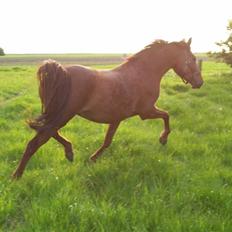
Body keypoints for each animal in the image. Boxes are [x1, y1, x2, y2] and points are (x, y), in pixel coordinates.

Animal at [12, 39, 203, 179]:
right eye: (193, 58)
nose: (199, 83)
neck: (142, 73)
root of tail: (62, 71)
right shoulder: (146, 111)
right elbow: (167, 115)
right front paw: (163, 139)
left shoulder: (117, 118)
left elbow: (107, 141)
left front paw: (92, 159)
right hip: (63, 115)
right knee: (36, 141)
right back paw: (17, 176)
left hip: (58, 114)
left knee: (46, 132)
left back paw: (69, 152)